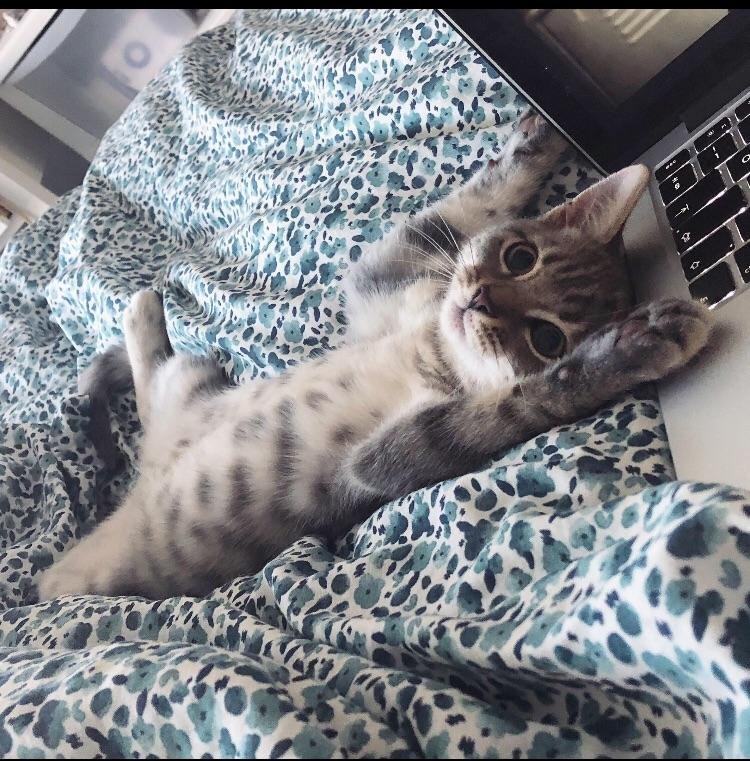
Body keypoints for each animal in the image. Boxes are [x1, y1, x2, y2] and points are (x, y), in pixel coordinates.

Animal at [37, 112, 711, 600]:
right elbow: (464, 207)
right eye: (520, 256)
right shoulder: (383, 279)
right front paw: (538, 141)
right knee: (150, 379)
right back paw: (137, 317)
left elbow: (524, 399)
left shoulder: (383, 460)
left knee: (148, 388)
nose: (480, 300)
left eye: (547, 338)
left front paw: (629, 346)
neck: (433, 350)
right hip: (191, 383)